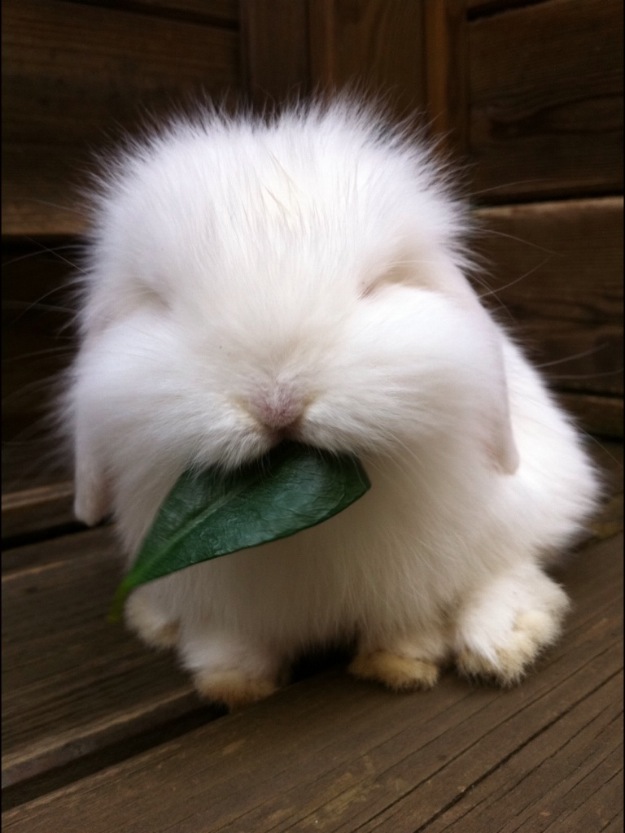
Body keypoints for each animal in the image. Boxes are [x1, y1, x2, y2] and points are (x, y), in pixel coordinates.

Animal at [64, 99, 600, 708]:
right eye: (161, 302)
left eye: (375, 285)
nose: (278, 402)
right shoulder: (225, 607)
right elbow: (232, 644)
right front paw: (233, 685)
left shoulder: (412, 582)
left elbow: (407, 625)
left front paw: (399, 666)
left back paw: (502, 644)